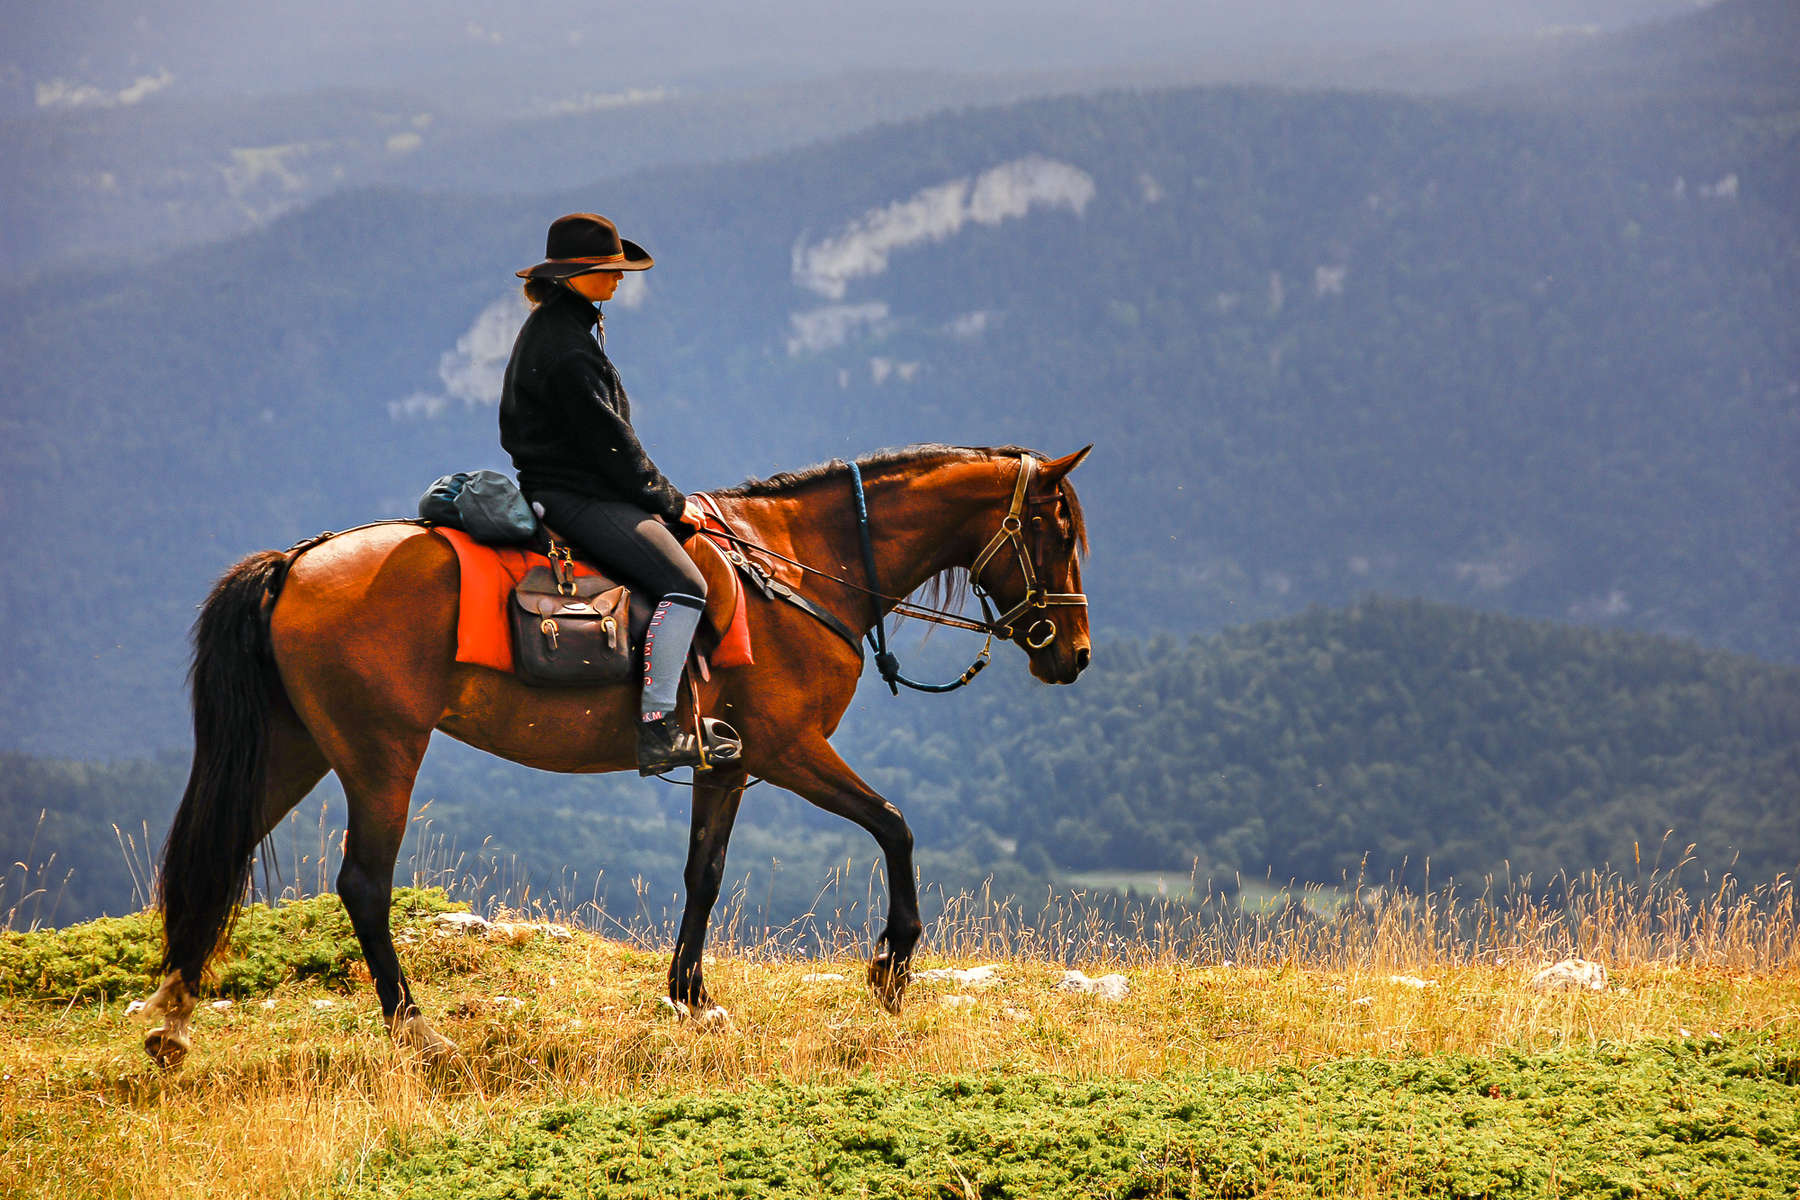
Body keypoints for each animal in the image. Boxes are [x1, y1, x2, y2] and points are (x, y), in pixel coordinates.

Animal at [140, 446, 1087, 1065]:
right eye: (1055, 530)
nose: (1073, 654)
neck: (801, 571)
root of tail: (297, 562)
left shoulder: (728, 762)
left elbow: (704, 874)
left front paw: (692, 999)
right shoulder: (789, 748)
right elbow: (895, 826)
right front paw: (891, 965)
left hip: (296, 748)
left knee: (220, 856)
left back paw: (173, 1021)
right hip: (381, 756)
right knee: (364, 886)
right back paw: (418, 1031)